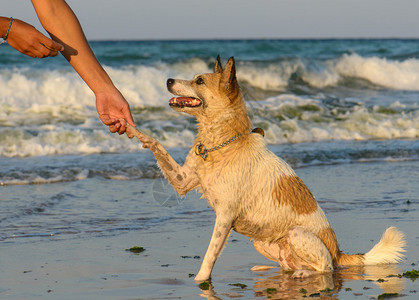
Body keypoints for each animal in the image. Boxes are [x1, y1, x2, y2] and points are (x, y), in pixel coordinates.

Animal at [125, 55, 406, 282]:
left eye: (200, 81)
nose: (168, 80)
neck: (223, 144)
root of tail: (339, 251)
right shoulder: (182, 180)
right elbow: (156, 144)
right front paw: (129, 127)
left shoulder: (224, 217)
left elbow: (209, 256)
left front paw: (199, 281)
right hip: (261, 242)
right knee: (288, 266)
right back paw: (269, 269)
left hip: (296, 234)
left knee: (326, 268)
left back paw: (305, 274)